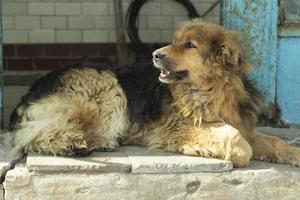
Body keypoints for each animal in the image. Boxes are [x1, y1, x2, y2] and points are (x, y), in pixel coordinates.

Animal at [9, 19, 300, 167]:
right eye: (175, 41)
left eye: (190, 45)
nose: (155, 54)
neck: (213, 88)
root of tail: (33, 88)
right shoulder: (178, 126)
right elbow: (238, 142)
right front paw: (216, 151)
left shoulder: (243, 124)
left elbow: (274, 142)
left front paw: (294, 155)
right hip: (106, 86)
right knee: (34, 134)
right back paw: (73, 143)